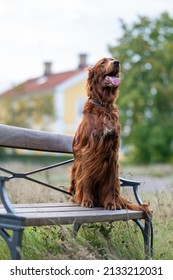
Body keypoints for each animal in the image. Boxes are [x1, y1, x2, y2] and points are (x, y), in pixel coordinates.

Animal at [69, 57, 150, 214]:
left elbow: (110, 184)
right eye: (103, 62)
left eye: (113, 60)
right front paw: (87, 201)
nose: (117, 63)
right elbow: (86, 179)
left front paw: (111, 204)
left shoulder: (112, 153)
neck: (103, 106)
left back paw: (116, 202)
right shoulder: (87, 153)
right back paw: (80, 199)